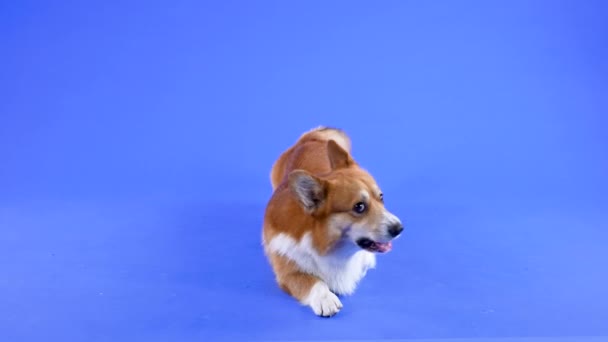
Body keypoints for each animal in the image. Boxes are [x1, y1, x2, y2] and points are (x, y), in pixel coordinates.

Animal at [262, 127, 404, 316]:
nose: (400, 228)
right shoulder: (288, 272)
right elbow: (314, 281)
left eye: (381, 197)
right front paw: (326, 299)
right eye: (359, 207)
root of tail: (309, 139)